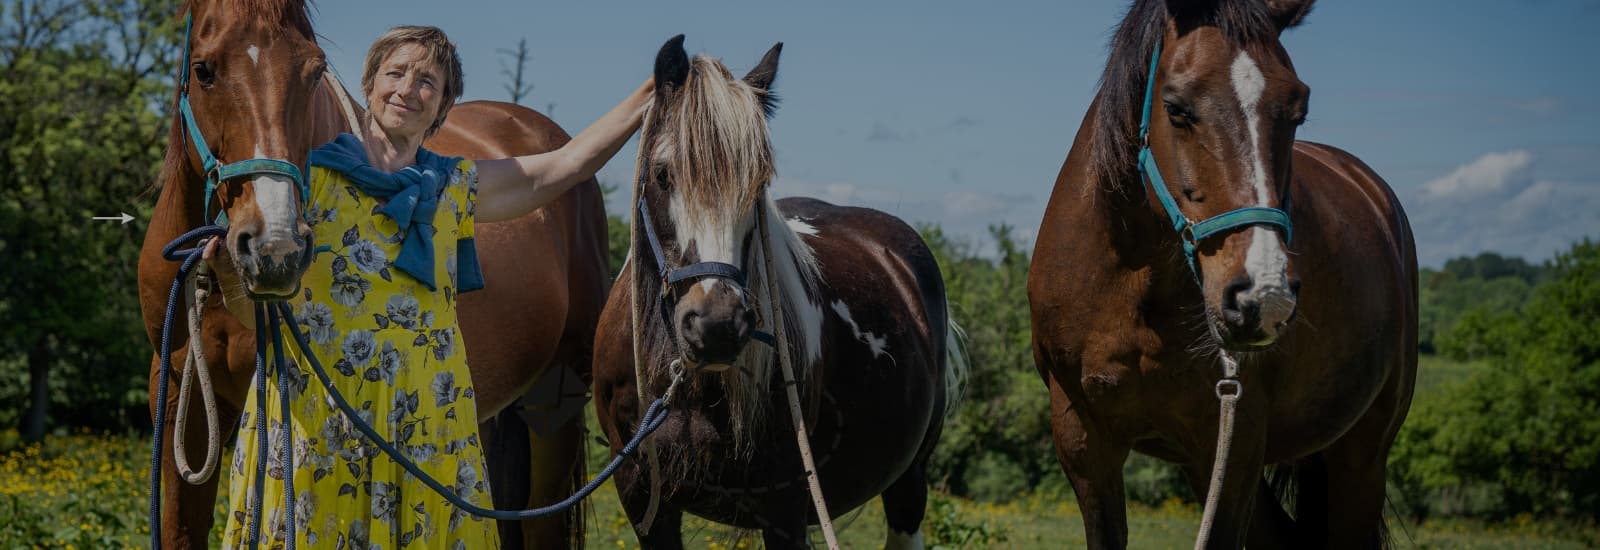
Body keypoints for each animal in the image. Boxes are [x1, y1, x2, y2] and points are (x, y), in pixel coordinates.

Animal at [588, 36, 960, 546]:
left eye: (758, 183)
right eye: (663, 174)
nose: (717, 325)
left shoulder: (784, 506)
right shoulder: (642, 496)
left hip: (909, 482)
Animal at [1024, 0, 1414, 546]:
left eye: (1298, 109)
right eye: (1176, 108)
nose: (1262, 297)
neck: (1130, 287)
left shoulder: (1236, 441)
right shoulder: (1084, 442)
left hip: (1360, 456)